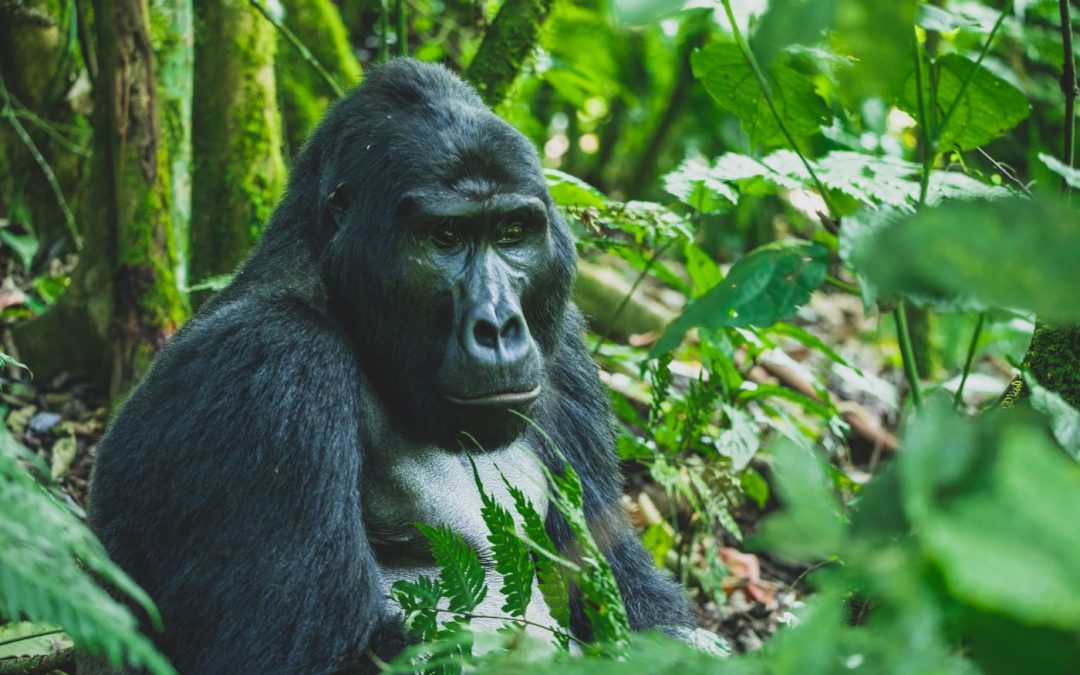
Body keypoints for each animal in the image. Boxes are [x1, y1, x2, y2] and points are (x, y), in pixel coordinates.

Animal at [84, 60, 691, 669]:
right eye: (446, 237)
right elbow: (295, 655)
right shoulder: (271, 364)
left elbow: (626, 587)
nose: (498, 327)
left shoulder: (563, 350)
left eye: (513, 233)